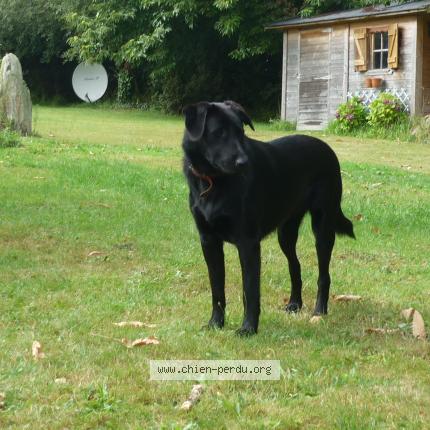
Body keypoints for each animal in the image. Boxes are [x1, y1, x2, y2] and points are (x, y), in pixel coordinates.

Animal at [183, 101, 354, 336]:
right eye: (218, 133)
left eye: (241, 132)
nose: (243, 163)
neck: (213, 182)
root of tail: (327, 148)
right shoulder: (209, 241)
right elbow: (217, 289)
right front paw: (216, 323)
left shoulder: (248, 243)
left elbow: (250, 290)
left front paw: (248, 328)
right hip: (286, 233)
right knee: (295, 266)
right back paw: (294, 304)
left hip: (323, 227)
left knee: (323, 275)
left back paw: (319, 311)